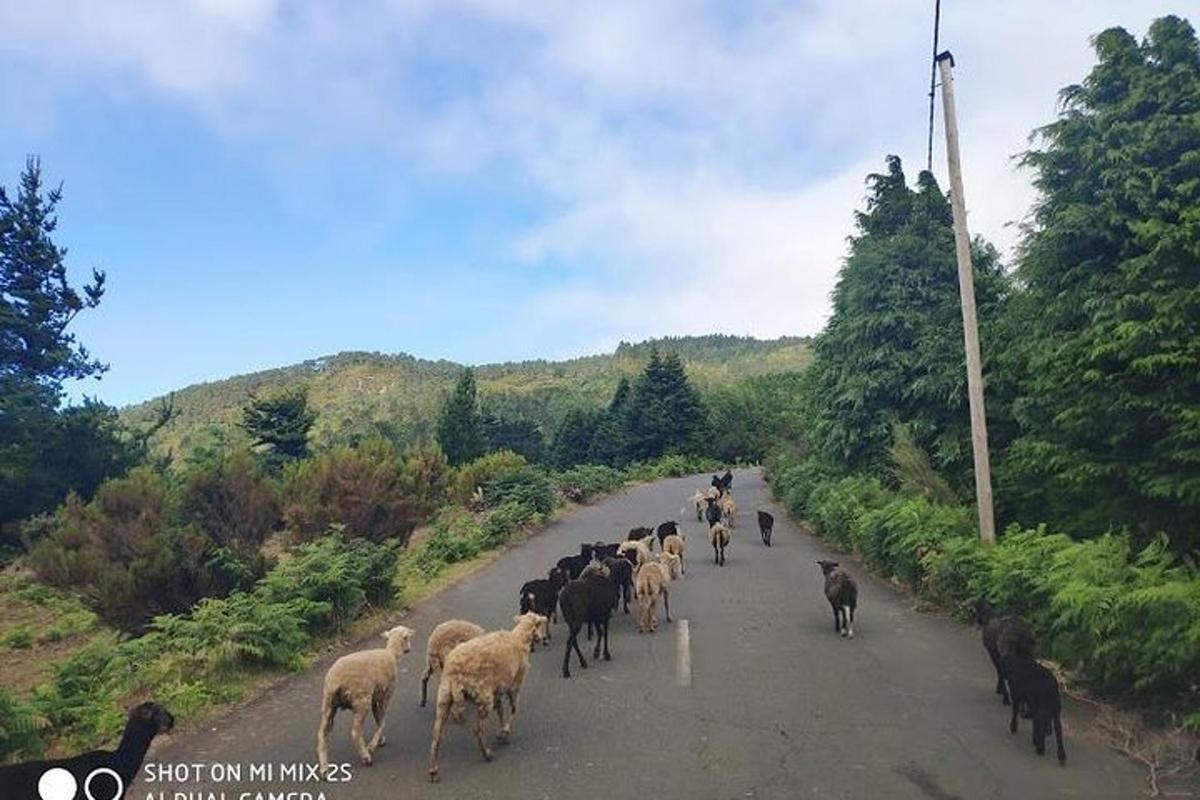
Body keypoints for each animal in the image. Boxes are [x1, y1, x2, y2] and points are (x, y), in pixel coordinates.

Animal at [319, 623, 417, 777]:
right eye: (407, 637)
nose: (409, 649)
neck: (392, 653)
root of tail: (337, 681)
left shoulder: (375, 698)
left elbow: (378, 719)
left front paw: (380, 740)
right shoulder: (385, 695)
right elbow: (382, 721)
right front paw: (372, 745)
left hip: (328, 702)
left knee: (322, 734)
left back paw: (324, 768)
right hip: (361, 700)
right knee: (355, 732)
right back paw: (366, 756)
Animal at [427, 614, 549, 782]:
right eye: (538, 624)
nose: (542, 638)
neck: (518, 638)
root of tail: (455, 672)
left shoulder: (497, 690)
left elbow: (501, 711)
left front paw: (502, 731)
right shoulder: (514, 685)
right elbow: (514, 709)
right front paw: (504, 733)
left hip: (444, 696)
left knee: (436, 735)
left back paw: (433, 770)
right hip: (483, 696)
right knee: (477, 729)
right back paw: (487, 754)